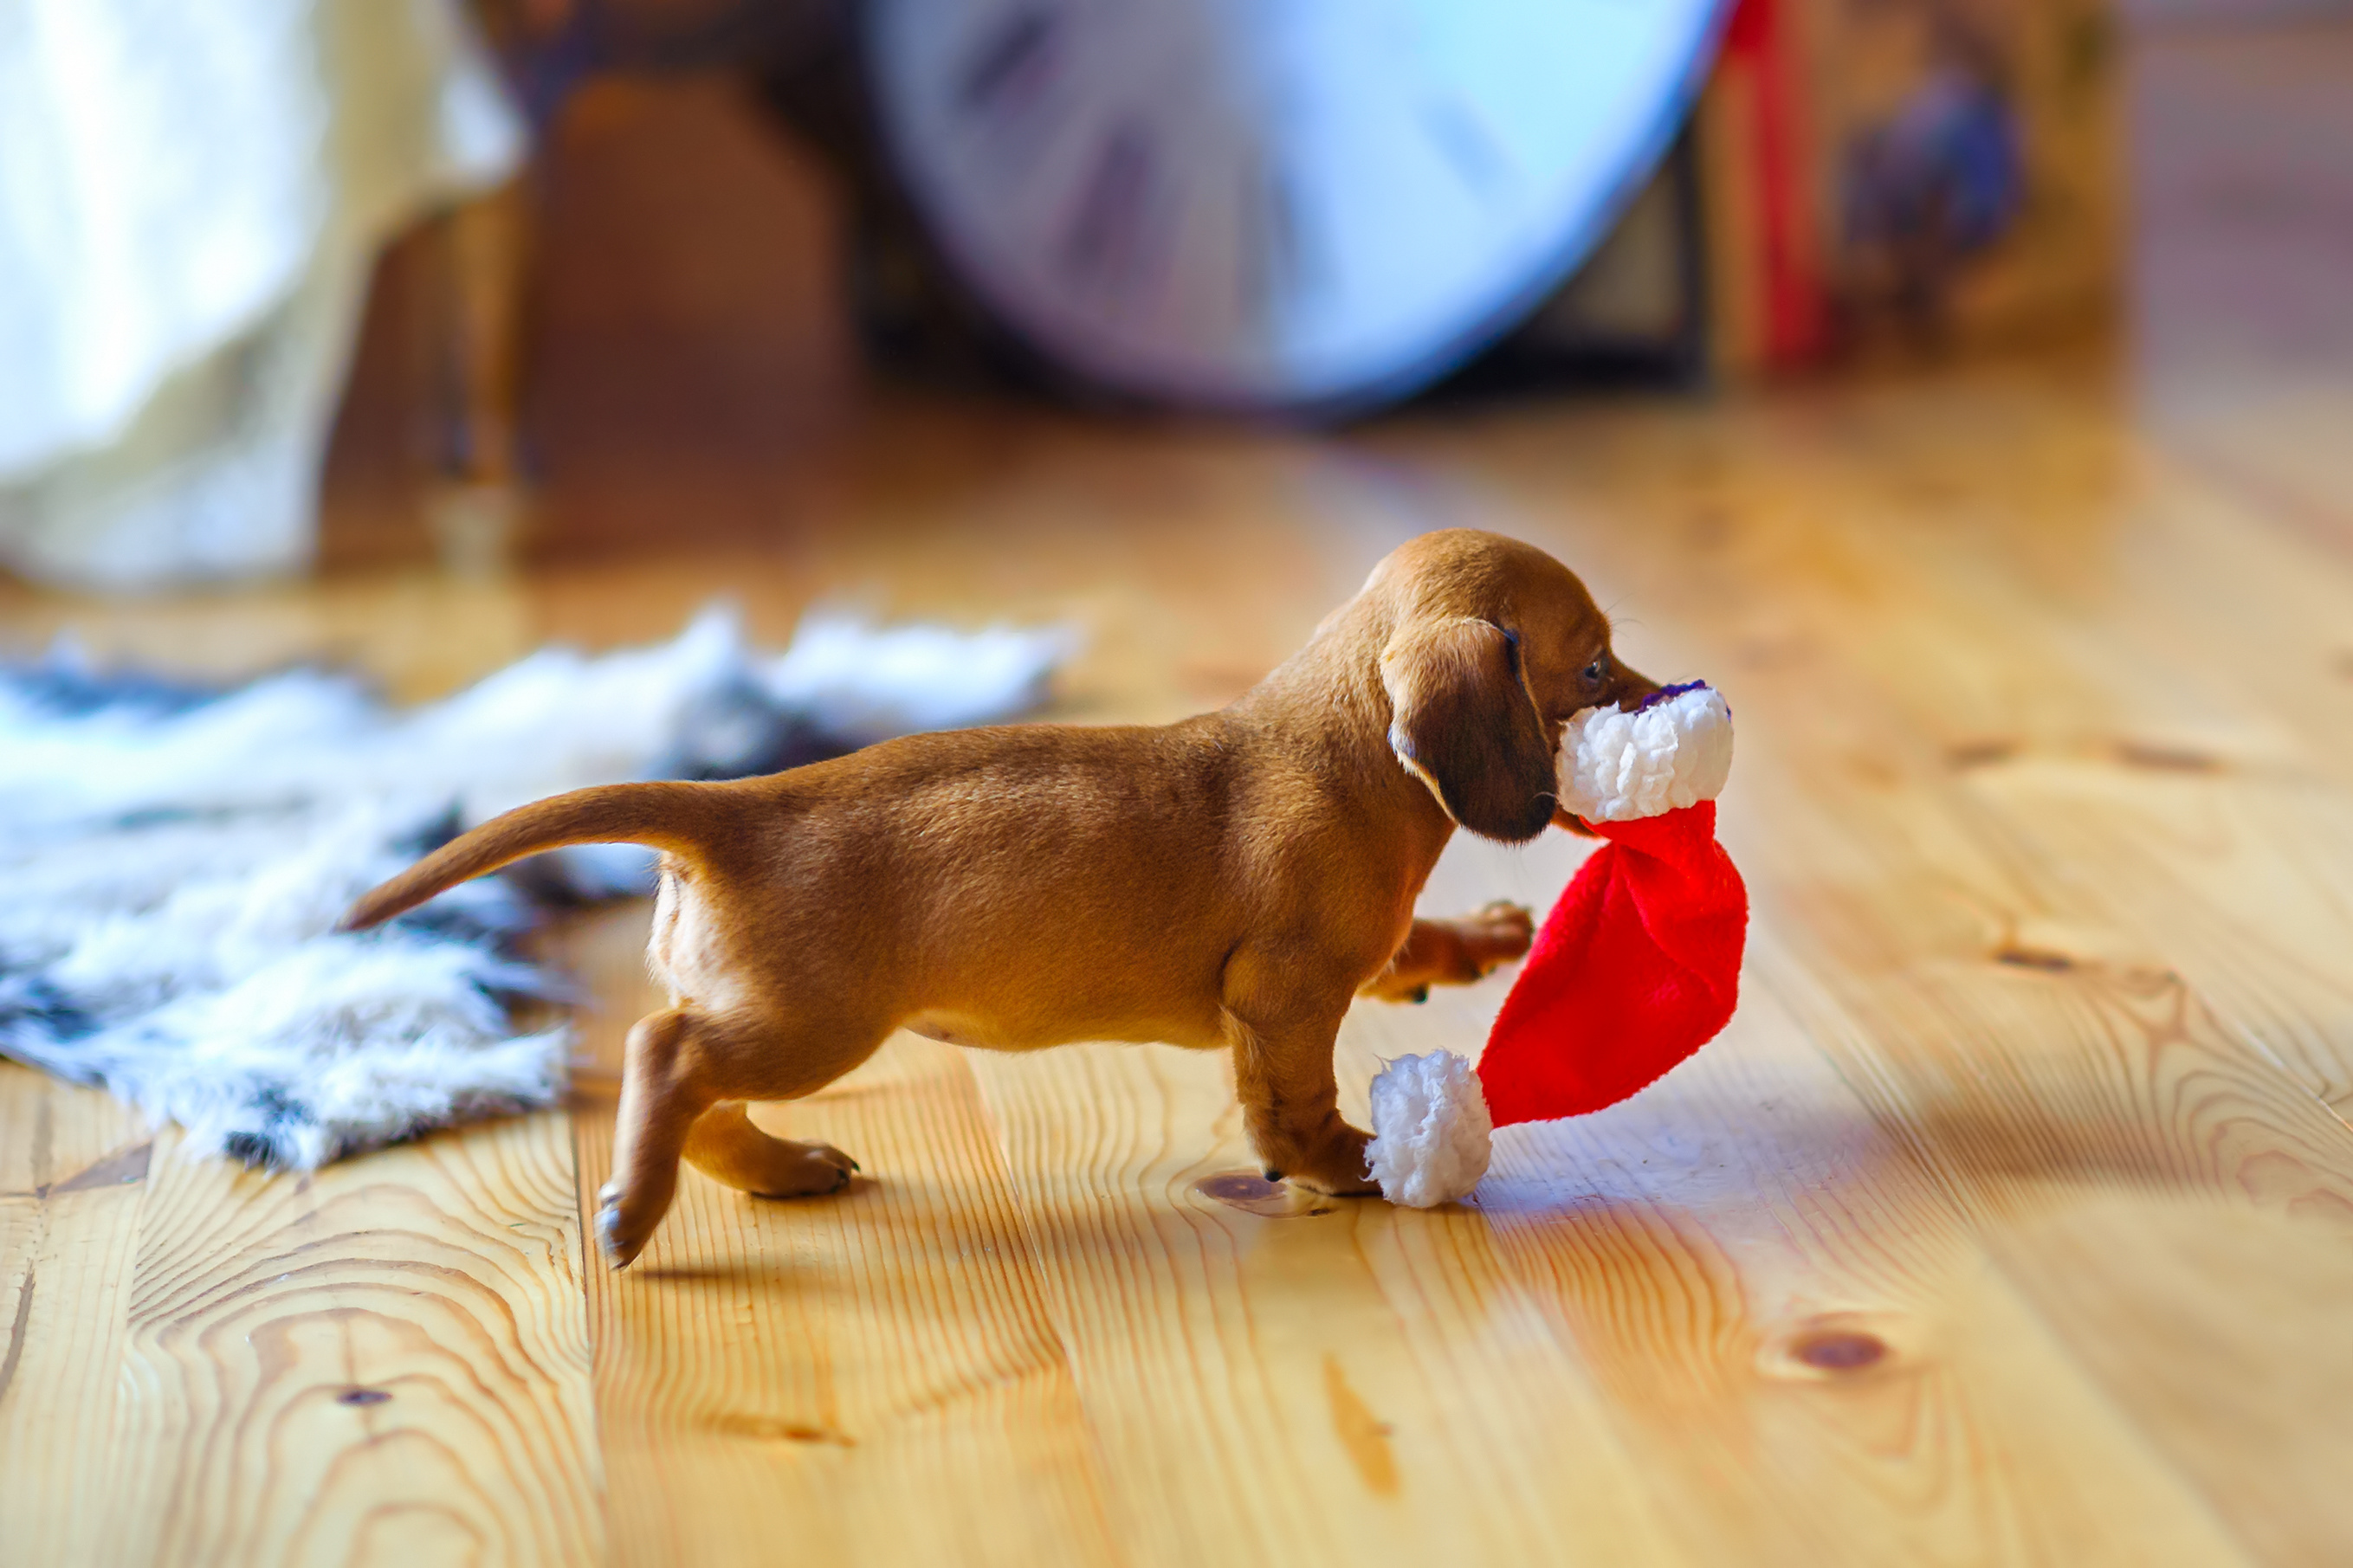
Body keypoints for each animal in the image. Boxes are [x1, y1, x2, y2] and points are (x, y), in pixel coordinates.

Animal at [343, 533, 1656, 1269]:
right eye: (1592, 665)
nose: (1679, 695)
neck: (1337, 744)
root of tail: (734, 810)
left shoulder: (1351, 954)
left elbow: (1408, 947)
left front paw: (1480, 936)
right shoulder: (1281, 997)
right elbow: (1286, 1104)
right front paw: (1346, 1158)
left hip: (773, 1026)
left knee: (696, 1089)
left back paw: (773, 1169)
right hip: (808, 1025)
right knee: (664, 1053)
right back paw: (640, 1204)